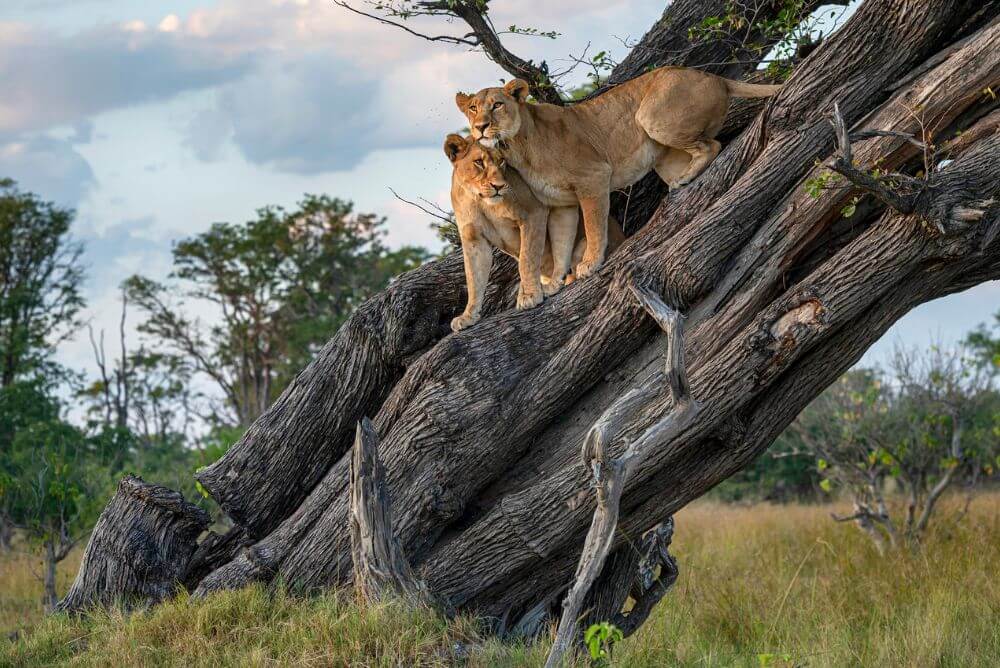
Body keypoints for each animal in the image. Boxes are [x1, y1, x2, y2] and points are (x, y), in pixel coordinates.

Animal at [445, 133, 624, 332]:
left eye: (501, 161)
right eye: (478, 162)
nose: (499, 186)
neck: (479, 200)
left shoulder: (533, 213)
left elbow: (527, 259)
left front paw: (530, 295)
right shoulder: (474, 239)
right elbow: (473, 279)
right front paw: (468, 316)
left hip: (582, 246)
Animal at [456, 66, 781, 278]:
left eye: (497, 105)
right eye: (473, 108)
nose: (479, 127)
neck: (517, 147)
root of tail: (715, 76)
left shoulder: (594, 177)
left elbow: (594, 226)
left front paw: (590, 263)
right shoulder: (560, 203)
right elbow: (562, 241)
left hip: (651, 116)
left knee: (712, 144)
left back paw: (685, 178)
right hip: (663, 154)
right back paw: (682, 178)